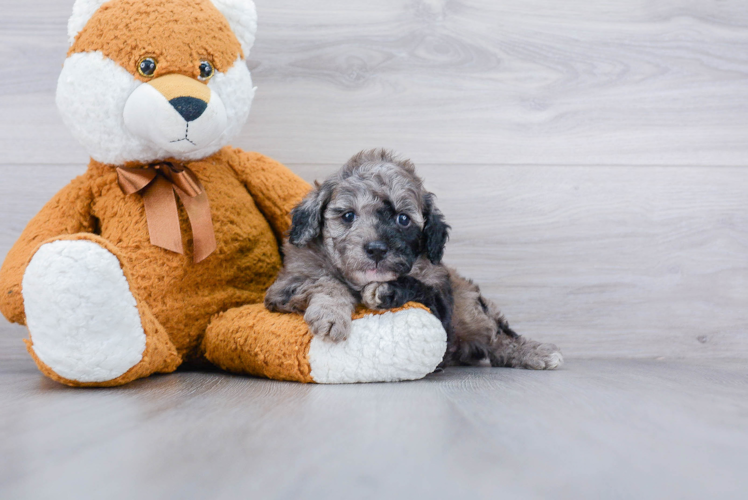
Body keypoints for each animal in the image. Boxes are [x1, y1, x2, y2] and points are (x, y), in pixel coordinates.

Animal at [266, 150, 564, 370]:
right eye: (348, 215)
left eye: (403, 219)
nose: (376, 249)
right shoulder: (284, 286)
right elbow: (326, 281)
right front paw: (331, 316)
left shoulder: (441, 304)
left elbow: (418, 285)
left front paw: (384, 290)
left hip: (471, 306)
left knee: (498, 334)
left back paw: (536, 352)